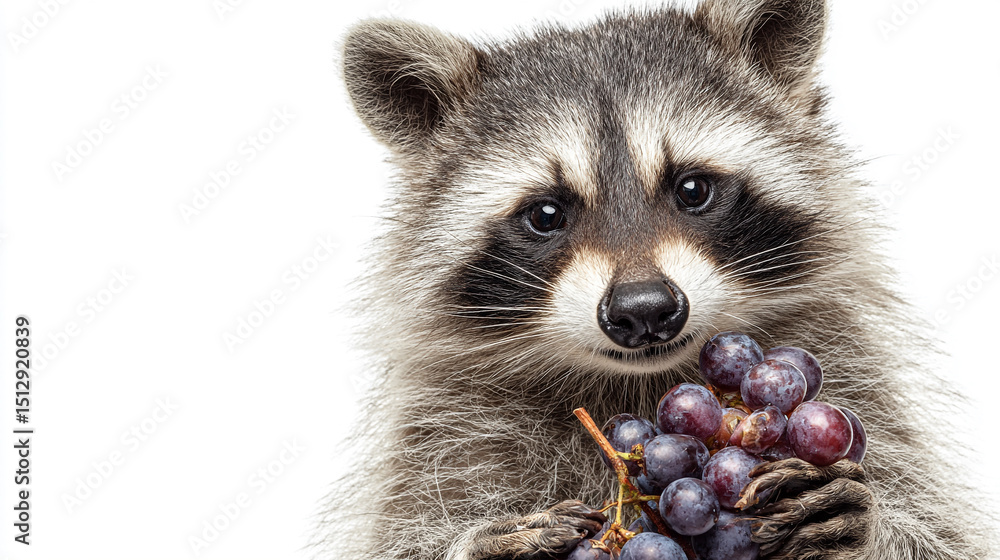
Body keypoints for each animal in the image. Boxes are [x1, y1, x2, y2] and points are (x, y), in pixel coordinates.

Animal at [324, 0, 991, 558]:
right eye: (546, 214)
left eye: (692, 188)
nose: (643, 309)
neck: (639, 384)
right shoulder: (442, 445)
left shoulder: (860, 385)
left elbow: (938, 532)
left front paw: (873, 527)